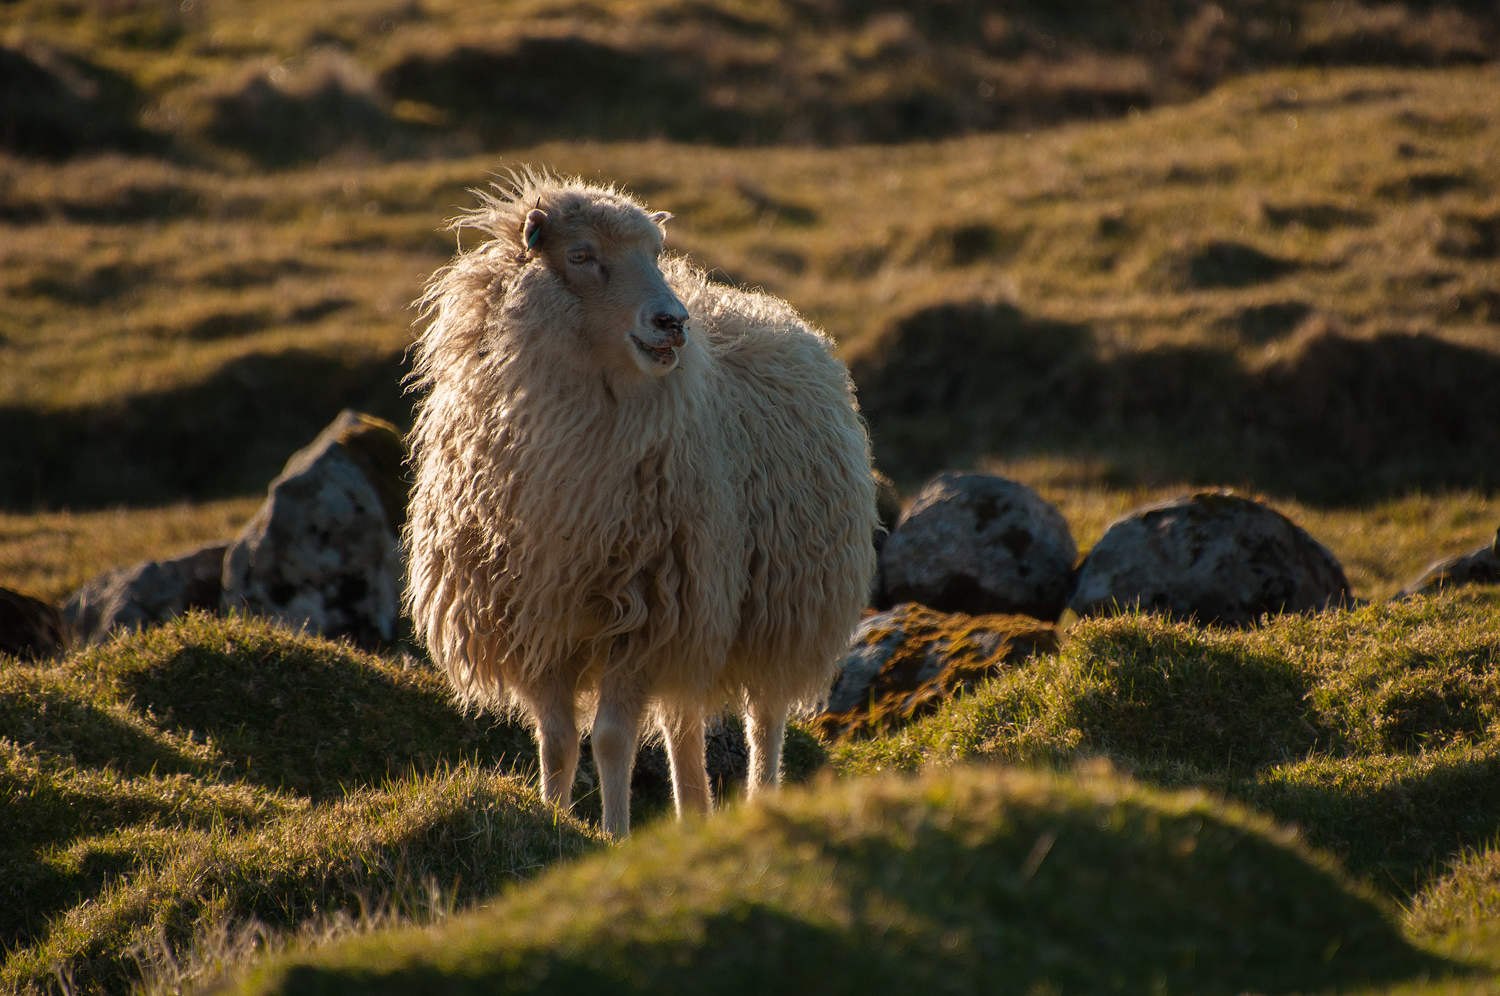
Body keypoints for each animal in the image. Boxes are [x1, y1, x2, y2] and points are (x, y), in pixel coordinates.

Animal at [402, 169, 876, 834]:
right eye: (581, 256)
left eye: (655, 254)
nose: (673, 321)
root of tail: (772, 311)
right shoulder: (540, 616)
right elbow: (557, 741)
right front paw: (553, 821)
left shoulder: (645, 613)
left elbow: (610, 740)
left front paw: (615, 834)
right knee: (683, 720)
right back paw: (693, 815)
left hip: (781, 600)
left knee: (765, 718)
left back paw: (762, 798)